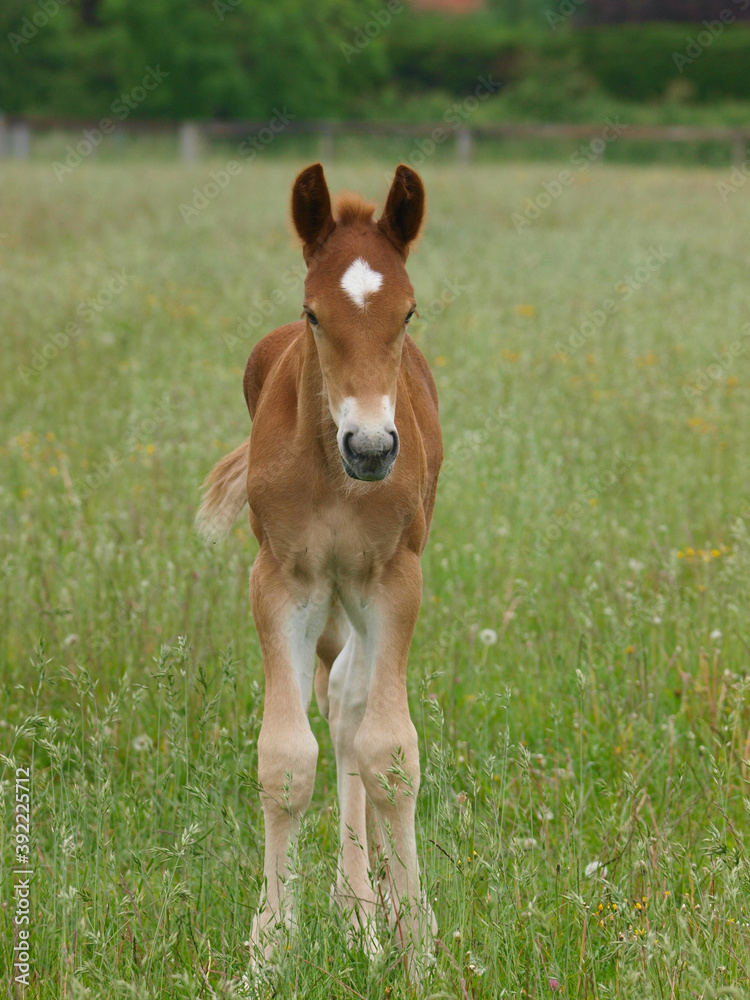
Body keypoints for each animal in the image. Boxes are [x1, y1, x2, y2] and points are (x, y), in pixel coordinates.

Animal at [197, 162, 442, 970]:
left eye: (407, 312)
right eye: (313, 314)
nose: (370, 447)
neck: (338, 479)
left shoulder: (393, 580)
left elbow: (390, 752)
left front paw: (416, 941)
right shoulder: (283, 582)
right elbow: (286, 758)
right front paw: (269, 946)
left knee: (352, 710)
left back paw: (368, 908)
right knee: (335, 710)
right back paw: (354, 907)